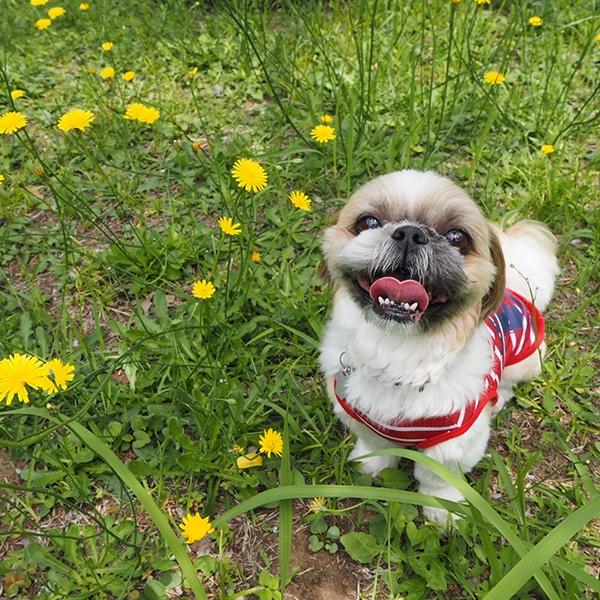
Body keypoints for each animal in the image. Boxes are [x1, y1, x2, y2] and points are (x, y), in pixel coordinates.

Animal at [322, 170, 560, 524]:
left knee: (508, 381)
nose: (410, 233)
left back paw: (499, 397)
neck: (398, 350)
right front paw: (372, 464)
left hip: (527, 360)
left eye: (457, 238)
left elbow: (437, 478)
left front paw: (443, 509)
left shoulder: (454, 440)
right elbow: (375, 444)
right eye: (368, 222)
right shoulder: (360, 414)